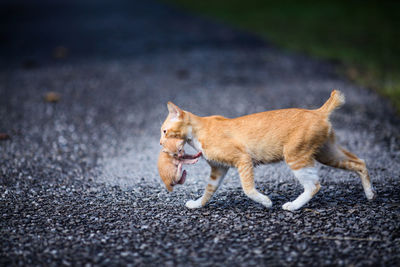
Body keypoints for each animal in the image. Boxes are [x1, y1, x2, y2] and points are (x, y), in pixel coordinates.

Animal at [159, 90, 376, 211]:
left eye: (164, 131)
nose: (160, 144)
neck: (199, 131)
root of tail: (318, 112)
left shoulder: (243, 159)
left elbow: (248, 189)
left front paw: (265, 202)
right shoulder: (218, 169)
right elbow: (208, 191)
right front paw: (197, 205)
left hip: (295, 157)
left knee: (314, 185)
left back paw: (293, 206)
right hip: (327, 154)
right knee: (360, 163)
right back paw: (370, 194)